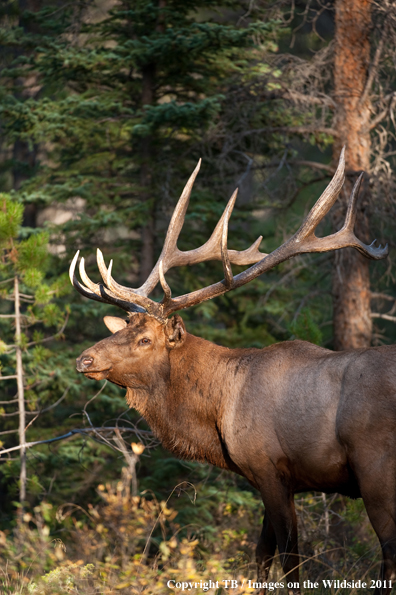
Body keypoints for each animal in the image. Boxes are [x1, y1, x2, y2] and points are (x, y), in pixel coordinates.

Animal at [70, 148, 390, 592]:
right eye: (124, 329)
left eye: (145, 339)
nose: (84, 359)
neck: (218, 413)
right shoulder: (268, 481)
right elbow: (261, 555)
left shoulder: (269, 468)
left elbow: (290, 560)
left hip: (377, 473)